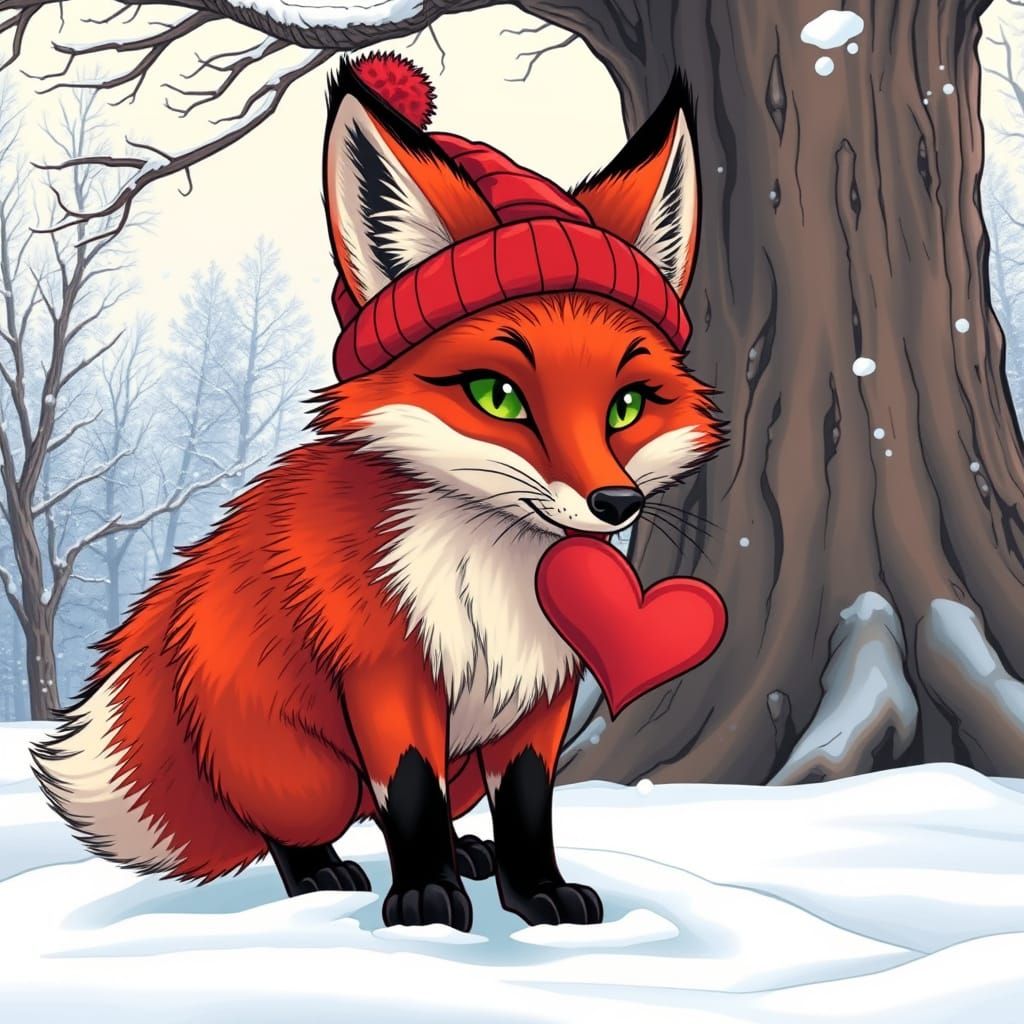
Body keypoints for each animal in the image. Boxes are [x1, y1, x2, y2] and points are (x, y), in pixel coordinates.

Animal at [32, 56, 724, 933]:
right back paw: (323, 874)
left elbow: (528, 804)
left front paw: (535, 891)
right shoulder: (386, 675)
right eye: (499, 396)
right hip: (310, 775)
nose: (614, 505)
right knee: (292, 825)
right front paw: (425, 902)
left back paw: (469, 852)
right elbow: (410, 797)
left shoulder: (545, 689)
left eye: (627, 406)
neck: (491, 584)